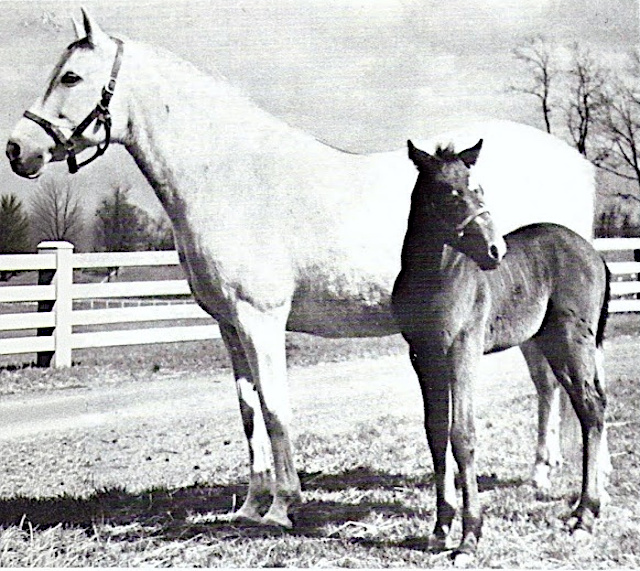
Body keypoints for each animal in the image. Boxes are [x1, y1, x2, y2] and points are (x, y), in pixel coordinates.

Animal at [6, 9, 603, 529]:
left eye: (71, 76)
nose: (18, 149)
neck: (231, 177)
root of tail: (577, 164)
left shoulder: (261, 319)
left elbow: (275, 409)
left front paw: (282, 506)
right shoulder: (230, 326)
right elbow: (248, 412)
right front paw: (251, 506)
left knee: (572, 390)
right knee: (550, 387)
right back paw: (546, 479)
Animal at [392, 139, 610, 562]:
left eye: (480, 189)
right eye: (448, 192)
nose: (496, 251)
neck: (434, 278)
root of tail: (593, 252)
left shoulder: (463, 350)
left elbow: (462, 434)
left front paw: (470, 536)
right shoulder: (423, 357)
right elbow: (435, 431)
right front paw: (441, 528)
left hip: (572, 340)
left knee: (591, 407)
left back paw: (584, 517)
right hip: (549, 342)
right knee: (584, 402)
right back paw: (584, 508)